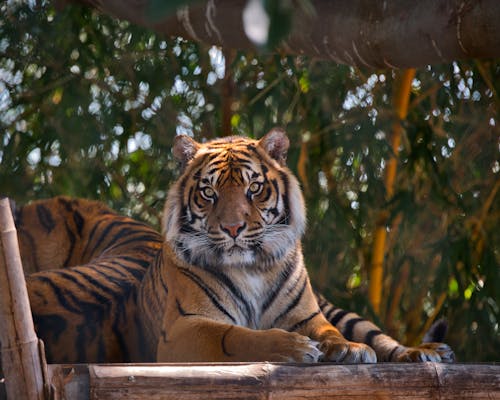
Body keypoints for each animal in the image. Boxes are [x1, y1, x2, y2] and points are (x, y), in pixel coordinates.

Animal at [2, 129, 454, 366]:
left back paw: (426, 353)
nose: (234, 227)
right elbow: (237, 335)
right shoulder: (184, 330)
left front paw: (347, 349)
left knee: (379, 335)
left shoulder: (308, 315)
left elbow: (330, 331)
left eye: (254, 188)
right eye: (209, 192)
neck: (253, 267)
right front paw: (292, 347)